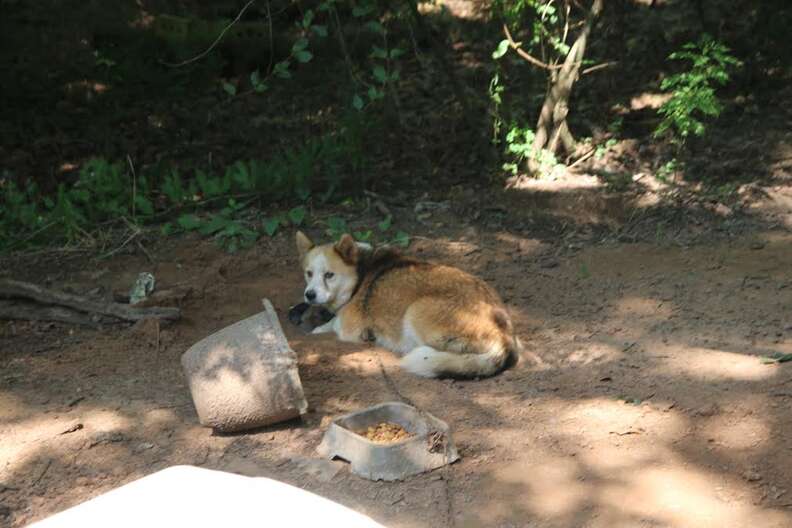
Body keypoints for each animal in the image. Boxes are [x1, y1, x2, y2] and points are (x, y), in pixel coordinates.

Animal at [294, 233, 524, 378]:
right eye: (308, 273)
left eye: (329, 275)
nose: (309, 295)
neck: (360, 273)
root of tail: (503, 338)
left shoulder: (348, 326)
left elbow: (331, 324)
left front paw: (317, 328)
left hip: (416, 311)